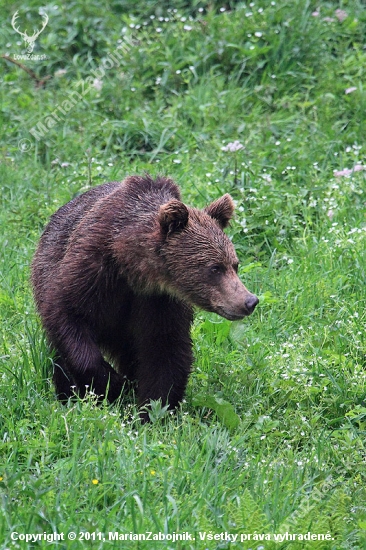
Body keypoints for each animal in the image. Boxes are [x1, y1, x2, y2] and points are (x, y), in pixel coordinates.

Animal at [33, 175, 258, 420]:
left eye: (235, 264)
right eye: (215, 268)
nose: (249, 301)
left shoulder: (159, 302)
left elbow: (165, 351)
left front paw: (152, 411)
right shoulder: (91, 272)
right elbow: (67, 316)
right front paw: (112, 385)